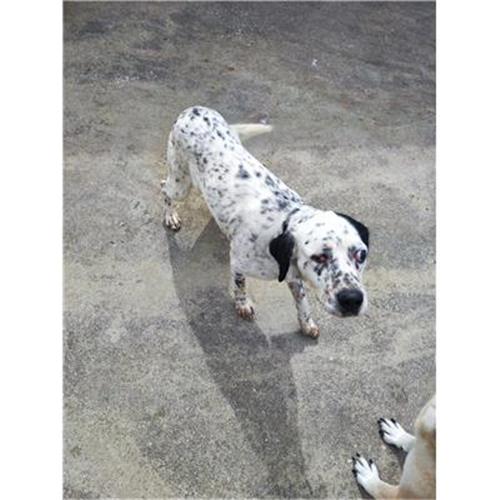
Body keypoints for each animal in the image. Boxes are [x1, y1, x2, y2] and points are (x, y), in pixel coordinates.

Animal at [161, 106, 369, 338]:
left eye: (361, 255)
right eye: (320, 257)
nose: (352, 300)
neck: (282, 223)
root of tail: (194, 109)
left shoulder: (294, 276)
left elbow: (302, 301)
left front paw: (306, 322)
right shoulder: (238, 263)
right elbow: (240, 285)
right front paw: (243, 305)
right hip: (180, 183)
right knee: (164, 188)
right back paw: (170, 216)